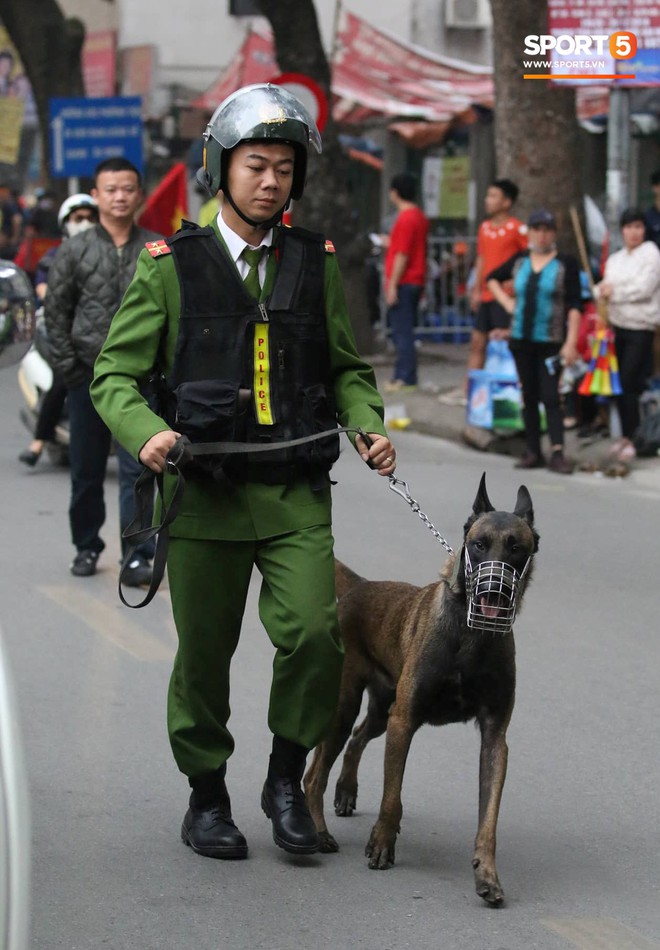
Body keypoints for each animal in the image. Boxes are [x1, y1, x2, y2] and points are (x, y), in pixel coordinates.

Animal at [306, 476, 540, 908]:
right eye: (479, 544)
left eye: (516, 547)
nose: (495, 588)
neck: (472, 635)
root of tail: (362, 587)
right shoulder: (405, 721)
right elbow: (392, 795)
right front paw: (382, 842)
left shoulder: (494, 738)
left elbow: (488, 820)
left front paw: (487, 876)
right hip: (345, 707)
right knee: (314, 775)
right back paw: (320, 832)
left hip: (381, 710)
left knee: (357, 740)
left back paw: (345, 791)